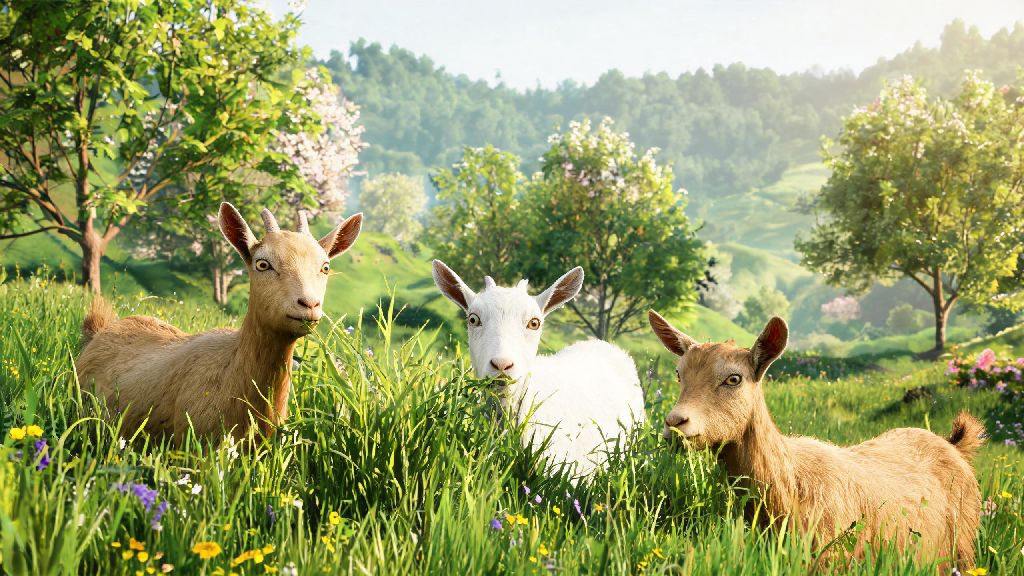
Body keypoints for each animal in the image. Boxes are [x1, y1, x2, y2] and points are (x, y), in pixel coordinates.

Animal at [648, 310, 983, 568]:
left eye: (734, 378)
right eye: (678, 374)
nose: (675, 423)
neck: (789, 489)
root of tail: (953, 445)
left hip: (964, 545)